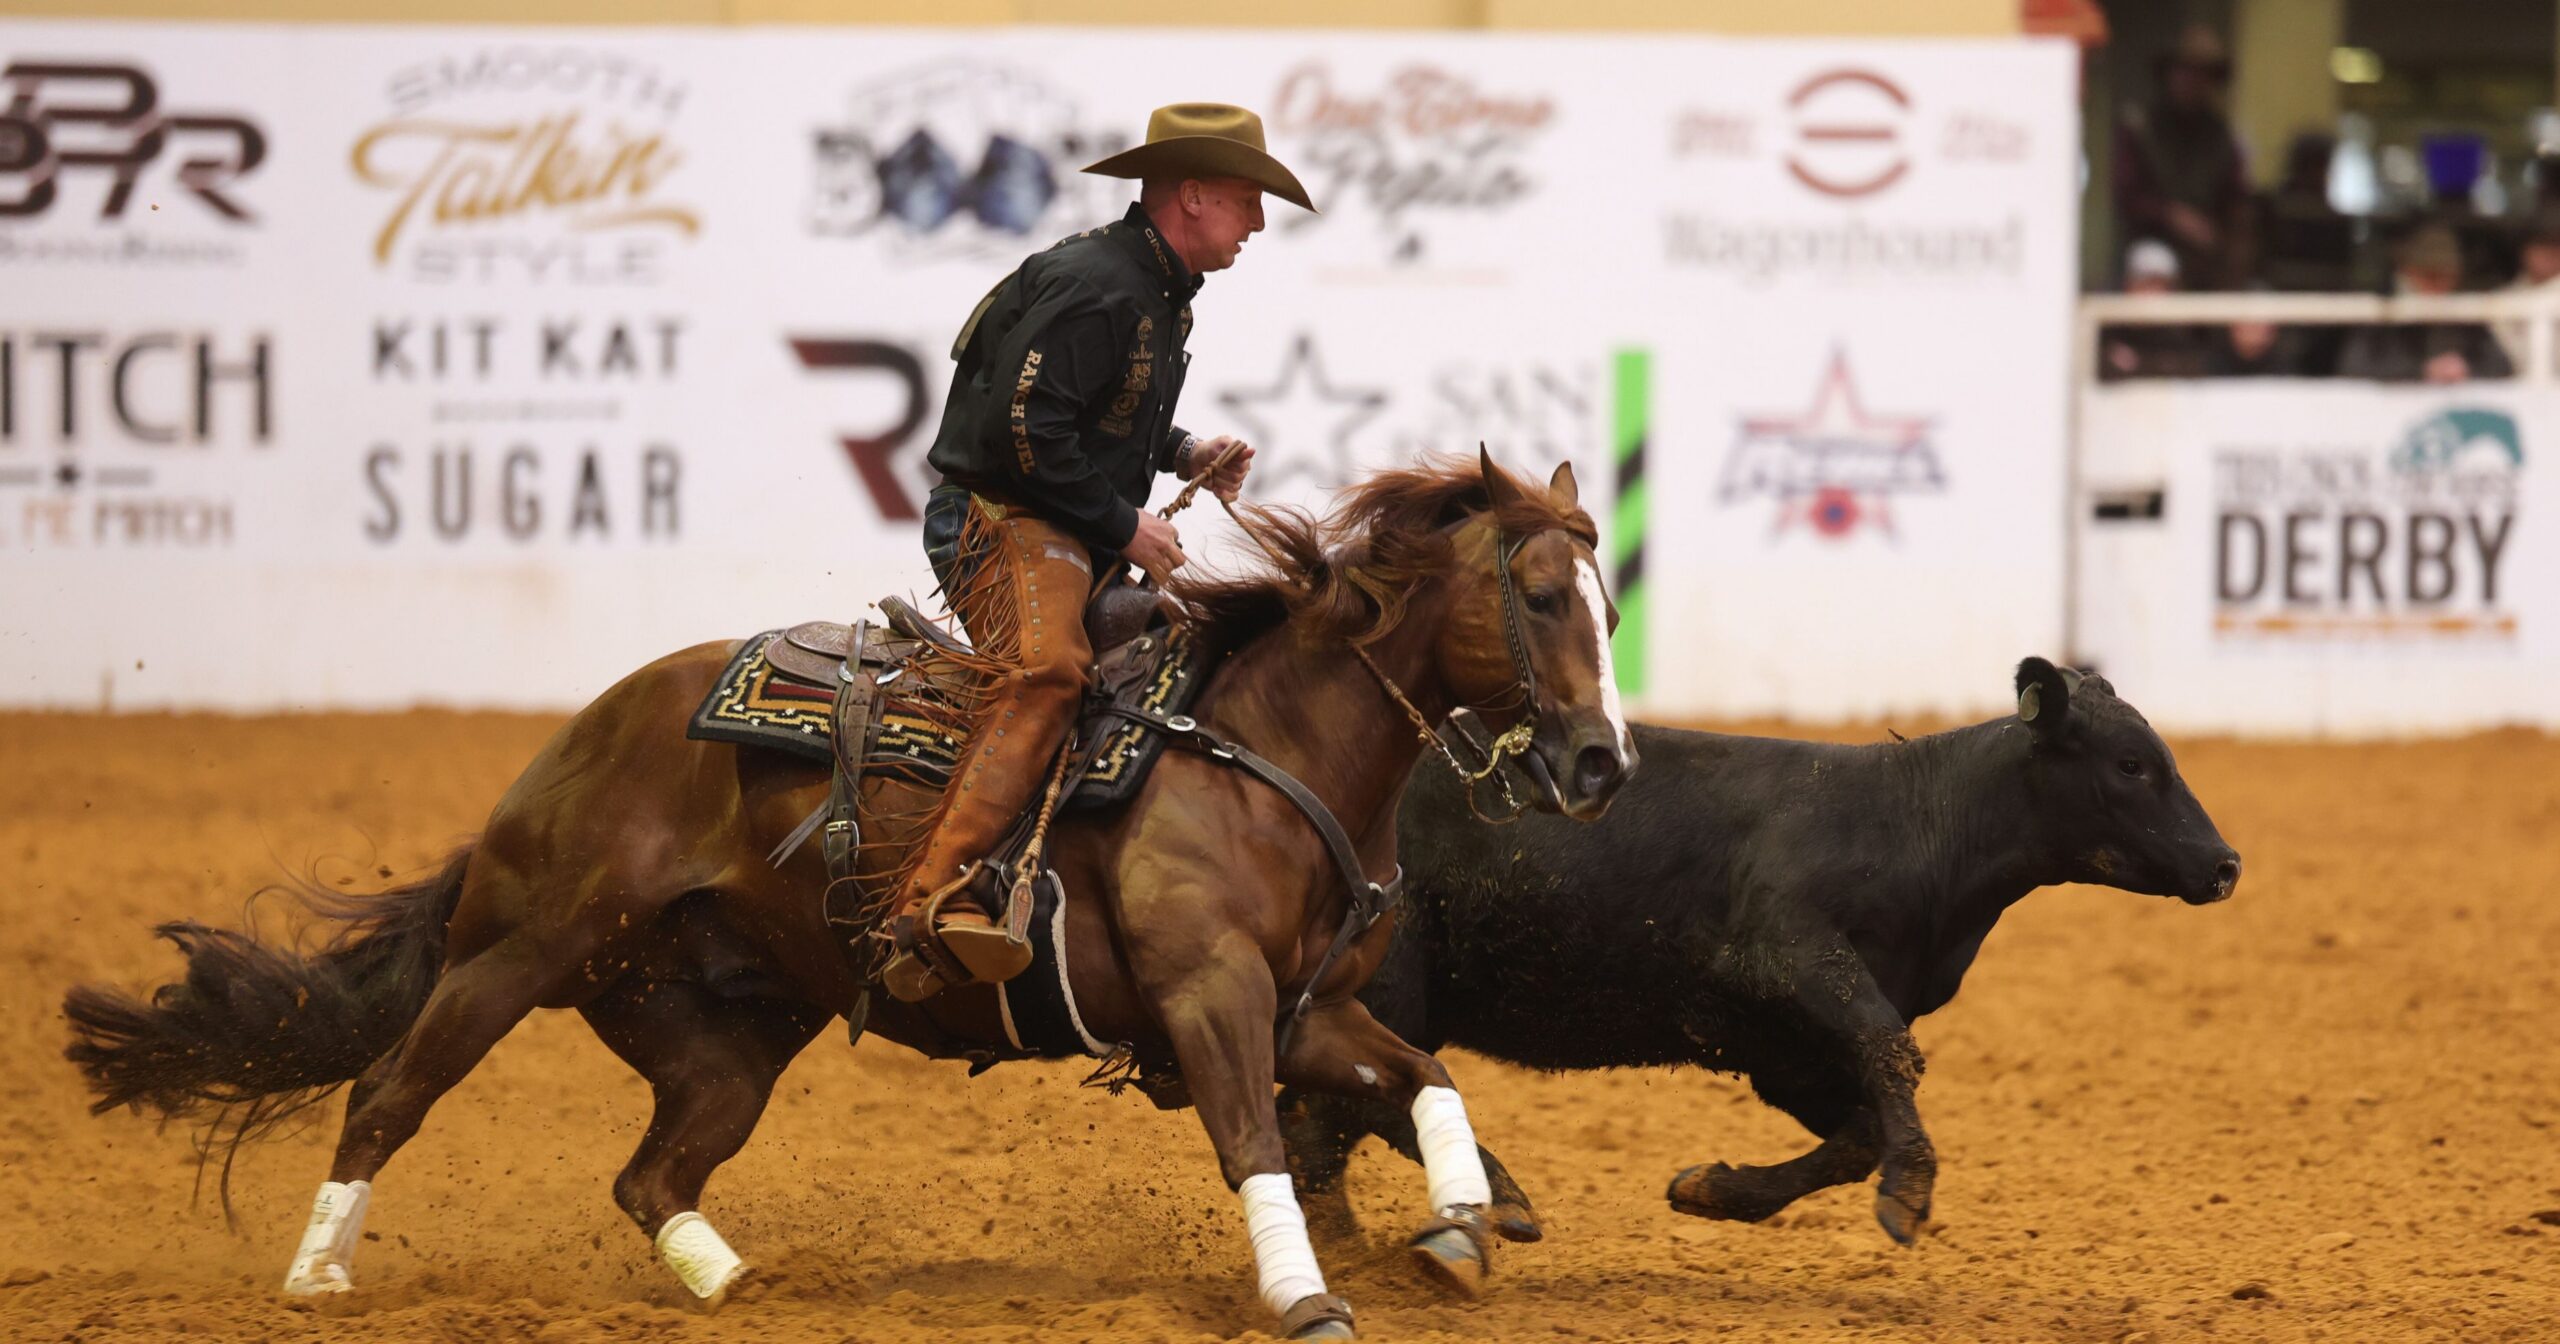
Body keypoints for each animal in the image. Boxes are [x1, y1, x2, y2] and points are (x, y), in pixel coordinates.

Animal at [1278, 658, 2242, 1248]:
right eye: (2130, 764)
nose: (2227, 863)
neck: (1914, 826)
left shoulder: (1789, 1053)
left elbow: (1860, 1132)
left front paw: (1713, 1188)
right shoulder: (1788, 952)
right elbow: (1893, 1050)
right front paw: (1911, 1195)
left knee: (1322, 1125)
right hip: (1391, 986)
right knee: (1368, 1099)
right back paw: (1496, 1200)